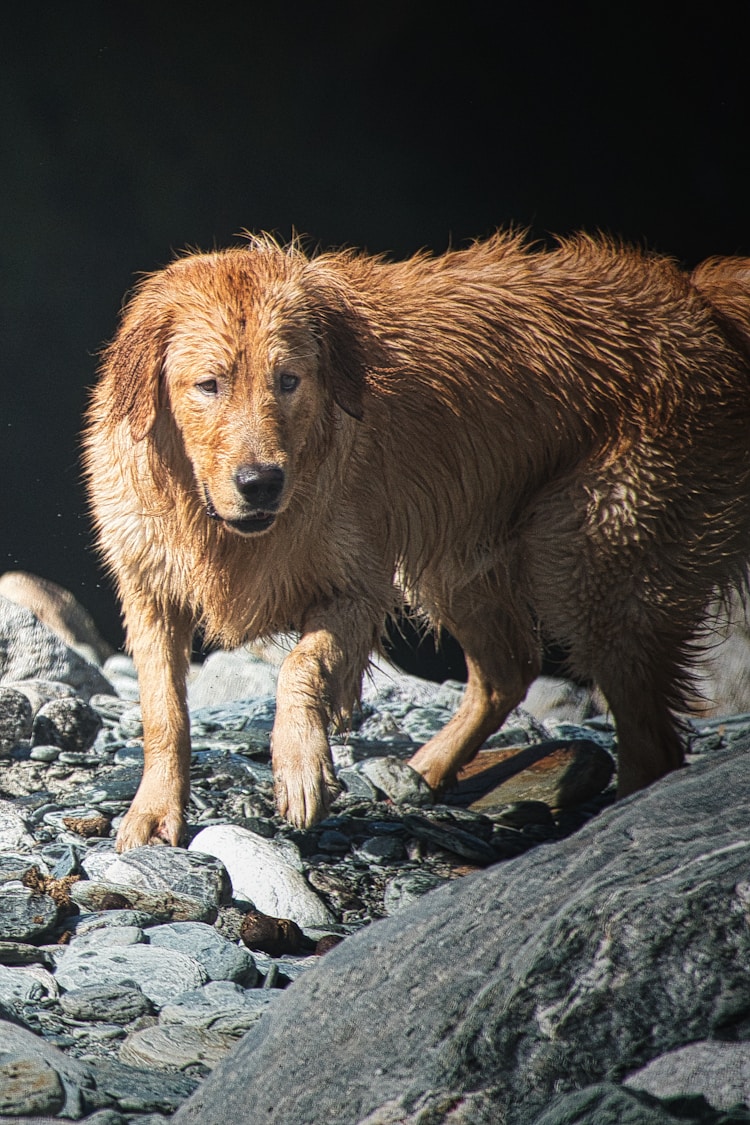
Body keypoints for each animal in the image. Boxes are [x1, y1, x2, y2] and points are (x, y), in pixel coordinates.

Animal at [82, 232, 750, 846]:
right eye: (209, 384)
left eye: (289, 381)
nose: (261, 483)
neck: (218, 526)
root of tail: (698, 301)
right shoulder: (149, 592)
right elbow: (164, 713)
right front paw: (154, 812)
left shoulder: (358, 587)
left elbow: (300, 664)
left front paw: (299, 766)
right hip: (460, 568)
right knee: (509, 670)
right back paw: (426, 771)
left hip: (590, 559)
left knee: (649, 741)